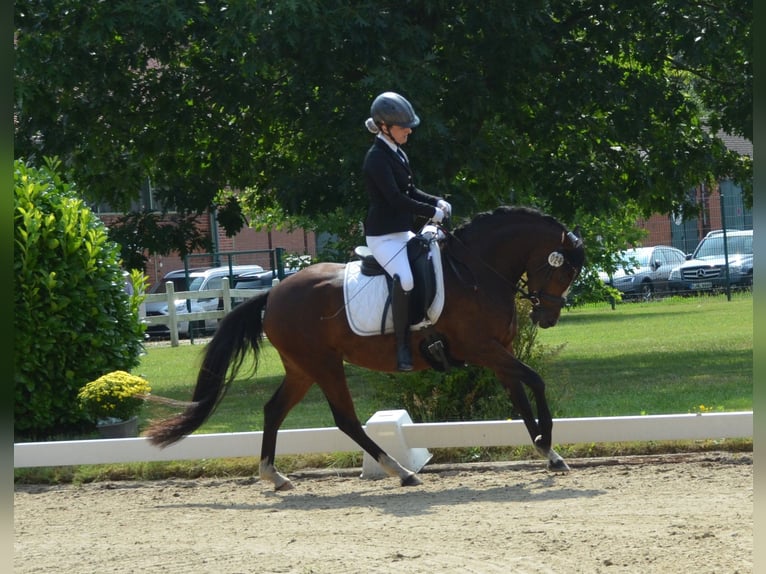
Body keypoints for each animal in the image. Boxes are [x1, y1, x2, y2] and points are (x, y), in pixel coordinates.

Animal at [147, 206, 584, 490]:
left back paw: (275, 475)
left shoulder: (498, 353)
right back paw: (401, 472)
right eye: (562, 269)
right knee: (346, 420)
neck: (475, 271)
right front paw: (548, 442)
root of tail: (274, 292)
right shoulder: (482, 348)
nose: (547, 317)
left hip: (302, 368)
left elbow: (520, 397)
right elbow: (536, 381)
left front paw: (549, 453)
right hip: (324, 365)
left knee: (274, 410)